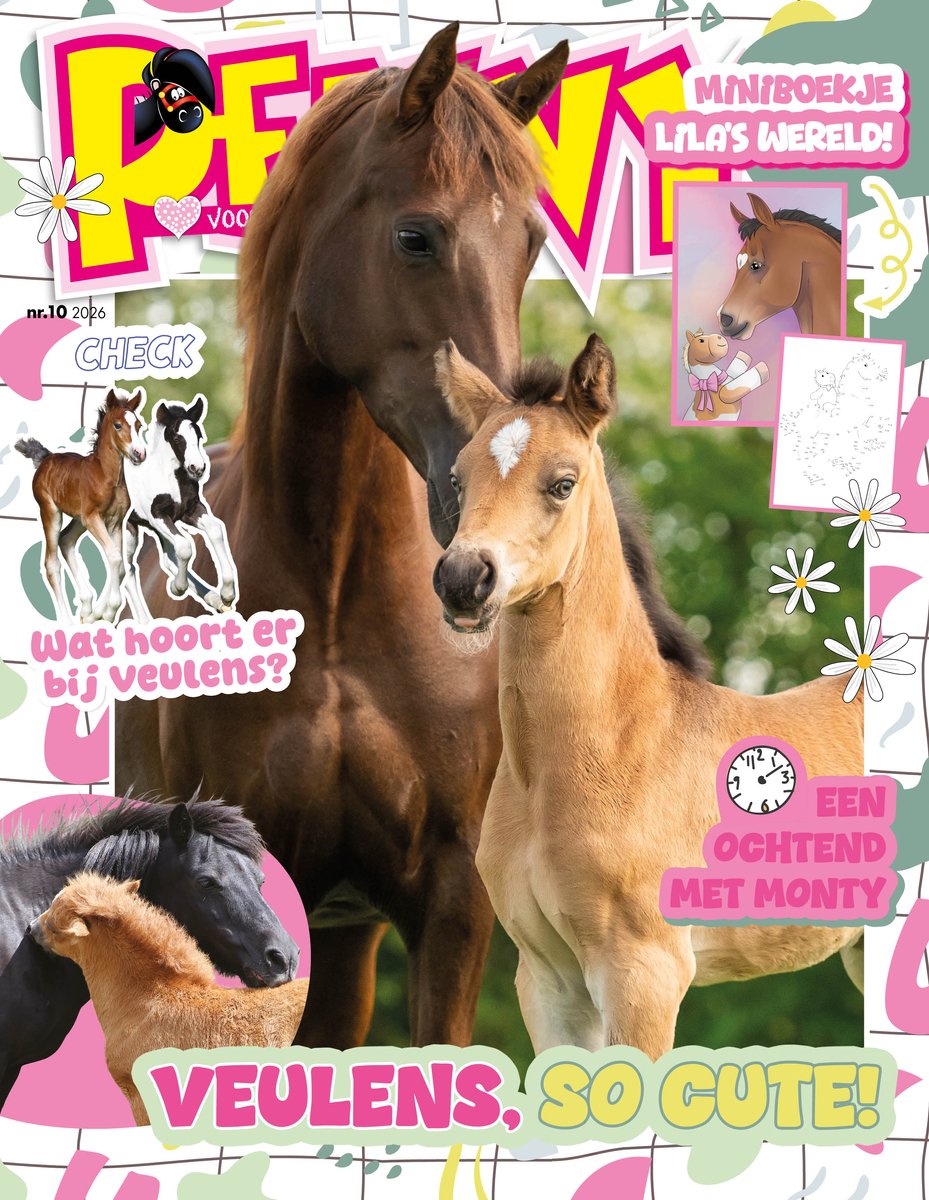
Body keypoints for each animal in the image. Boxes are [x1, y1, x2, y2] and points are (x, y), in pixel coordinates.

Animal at [16, 388, 146, 623]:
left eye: (138, 425)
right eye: (118, 425)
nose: (139, 454)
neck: (106, 476)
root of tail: (46, 458)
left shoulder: (115, 522)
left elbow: (120, 564)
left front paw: (101, 613)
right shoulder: (93, 517)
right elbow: (115, 558)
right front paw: (109, 611)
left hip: (79, 519)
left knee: (66, 540)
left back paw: (86, 608)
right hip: (52, 512)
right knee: (51, 563)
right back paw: (67, 622)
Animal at [122, 394, 238, 621]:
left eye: (199, 436)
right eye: (177, 439)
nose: (198, 468)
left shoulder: (190, 511)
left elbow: (215, 530)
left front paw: (227, 594)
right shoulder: (158, 516)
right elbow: (185, 547)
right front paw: (177, 587)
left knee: (168, 558)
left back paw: (213, 598)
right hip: (128, 529)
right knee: (128, 568)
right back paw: (143, 620)